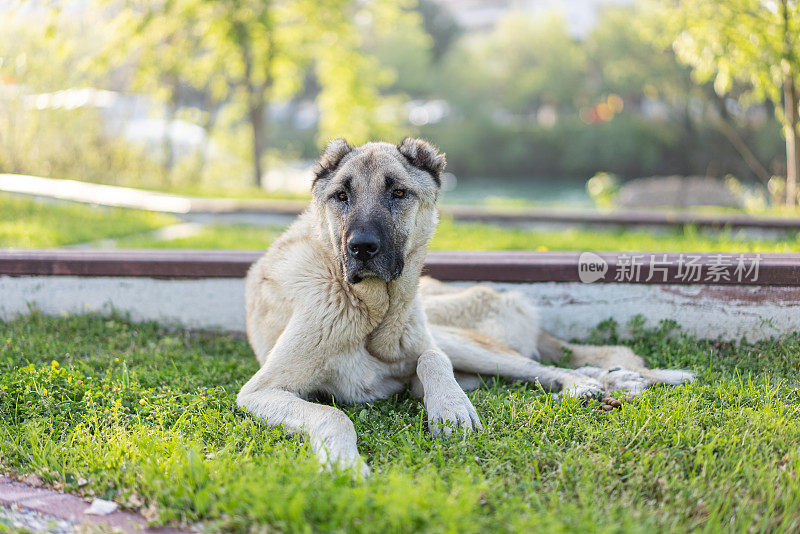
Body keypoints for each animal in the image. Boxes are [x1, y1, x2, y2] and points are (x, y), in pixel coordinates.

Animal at [239, 138, 692, 478]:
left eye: (398, 193)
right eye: (341, 196)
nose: (361, 248)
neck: (371, 312)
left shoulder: (422, 353)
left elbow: (431, 358)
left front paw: (451, 409)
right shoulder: (259, 391)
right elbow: (335, 416)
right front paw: (344, 466)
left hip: (460, 337)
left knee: (538, 366)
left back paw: (598, 382)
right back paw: (617, 378)